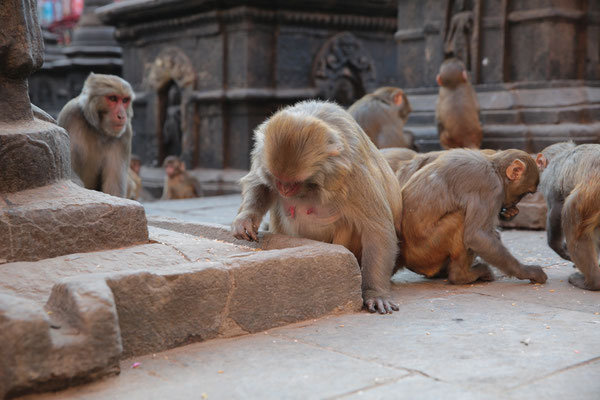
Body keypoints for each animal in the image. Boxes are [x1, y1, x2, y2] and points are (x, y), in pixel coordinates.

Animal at [233, 100, 404, 312]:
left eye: (295, 182)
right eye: (278, 179)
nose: (284, 189)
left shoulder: (353, 174)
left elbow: (377, 229)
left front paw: (375, 293)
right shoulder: (261, 153)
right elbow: (259, 182)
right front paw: (245, 220)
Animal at [398, 149, 548, 284]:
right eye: (525, 193)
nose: (514, 203)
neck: (494, 168)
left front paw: (508, 213)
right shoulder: (490, 187)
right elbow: (476, 235)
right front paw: (527, 271)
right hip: (429, 250)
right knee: (460, 218)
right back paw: (461, 276)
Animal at [536, 142, 600, 290]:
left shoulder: (550, 177)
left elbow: (556, 210)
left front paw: (558, 247)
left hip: (590, 194)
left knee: (570, 214)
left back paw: (592, 282)